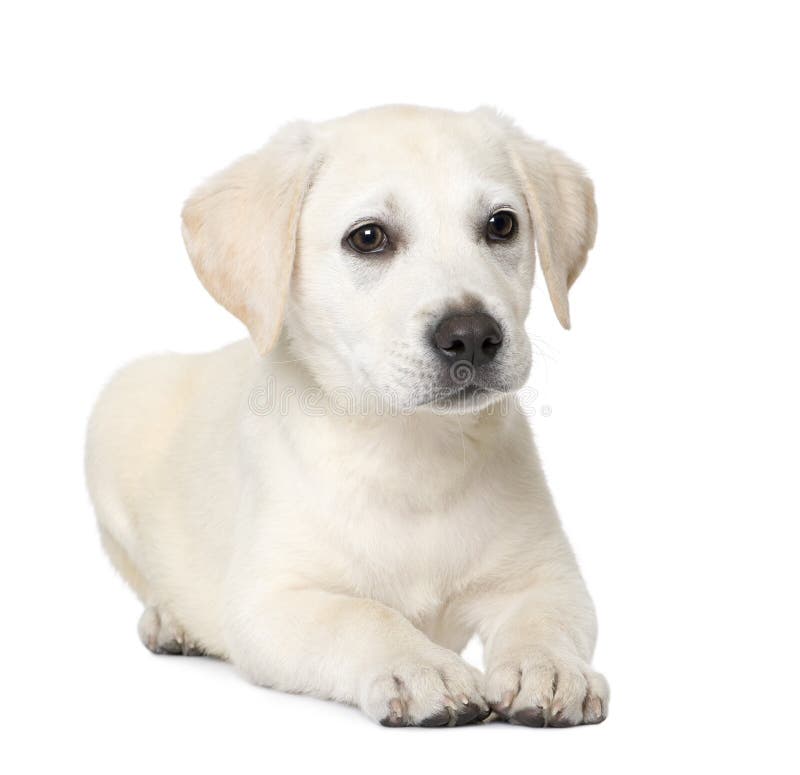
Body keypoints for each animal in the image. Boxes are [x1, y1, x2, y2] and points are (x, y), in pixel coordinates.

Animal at [86, 103, 608, 728]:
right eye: (369, 237)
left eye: (502, 225)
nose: (472, 336)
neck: (412, 451)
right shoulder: (271, 602)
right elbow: (361, 616)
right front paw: (419, 666)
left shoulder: (547, 578)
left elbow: (544, 618)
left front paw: (548, 667)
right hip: (115, 412)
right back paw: (171, 619)